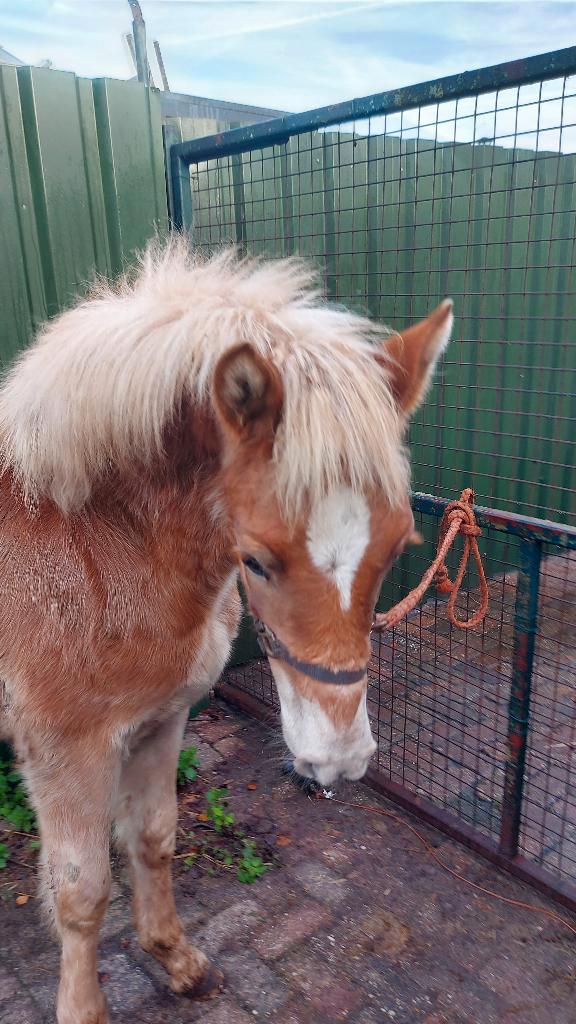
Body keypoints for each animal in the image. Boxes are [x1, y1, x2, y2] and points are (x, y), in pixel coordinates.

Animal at [0, 239, 452, 1024]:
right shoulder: (65, 754)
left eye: (400, 546)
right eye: (257, 560)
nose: (339, 758)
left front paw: (175, 959)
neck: (96, 541)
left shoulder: (160, 720)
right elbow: (81, 893)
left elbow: (152, 838)